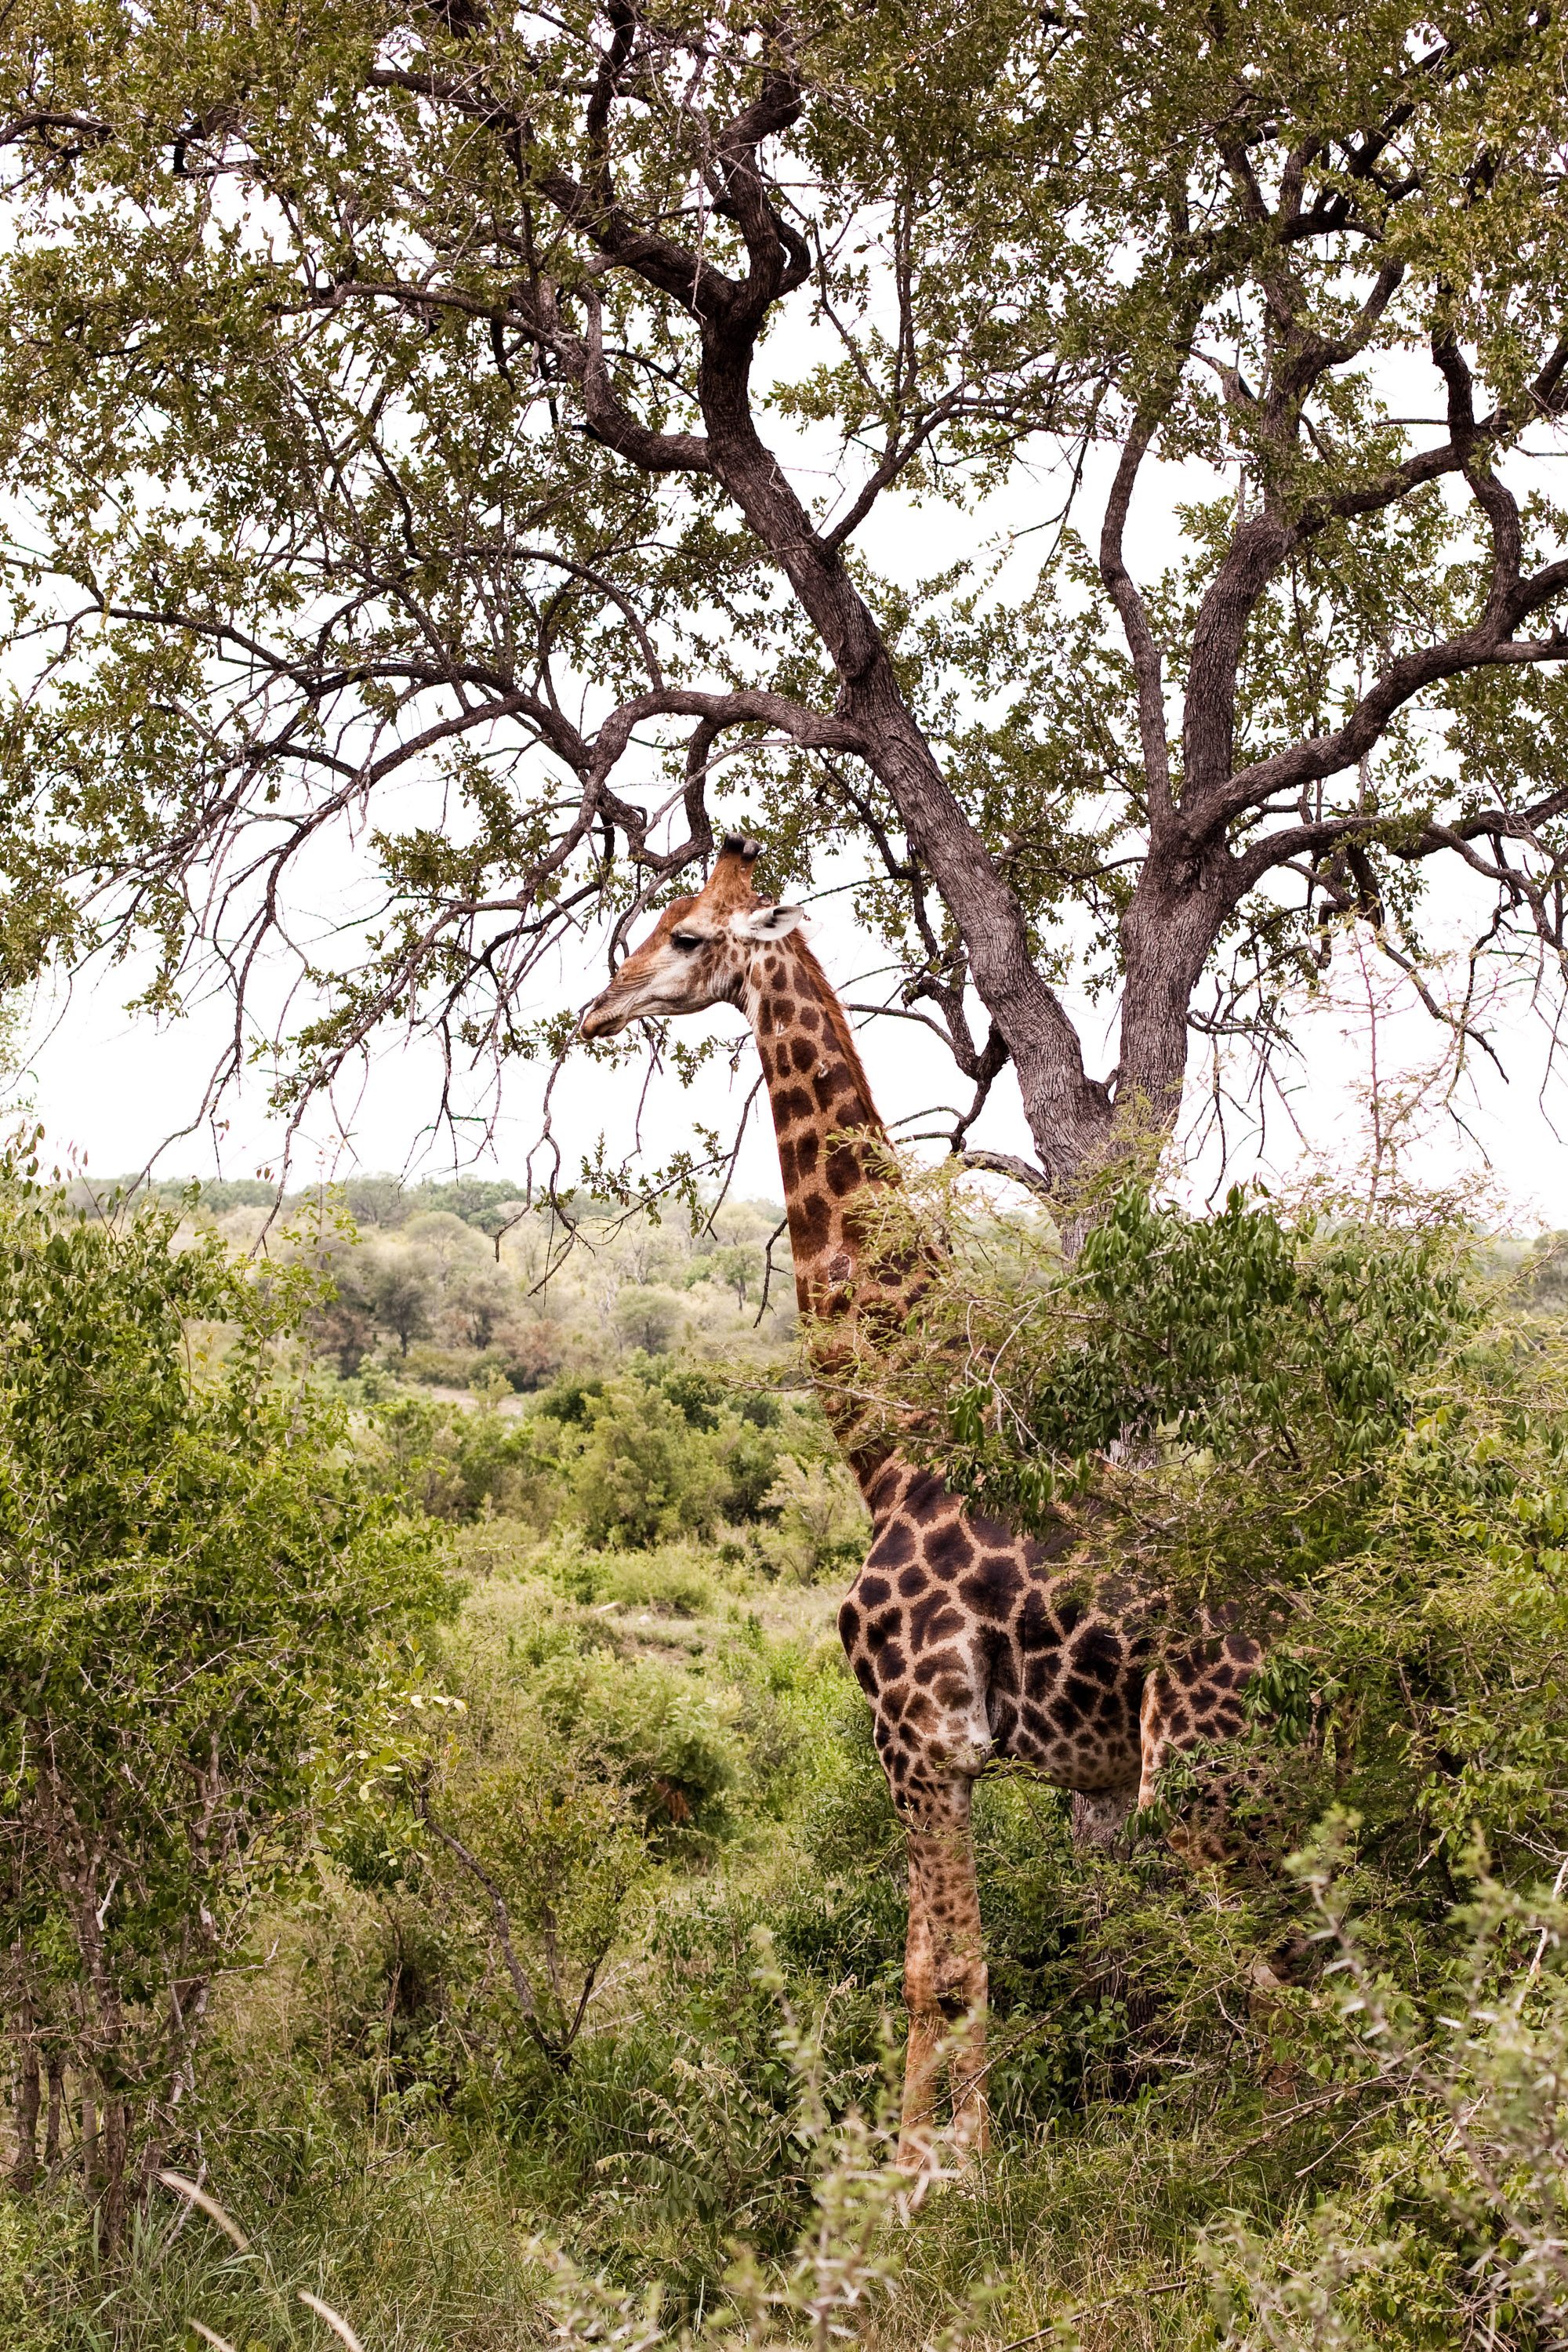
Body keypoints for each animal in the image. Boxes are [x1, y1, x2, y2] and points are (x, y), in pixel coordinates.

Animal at [580, 835, 1259, 2166]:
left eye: (688, 937)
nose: (593, 1011)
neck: (896, 1442)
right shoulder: (932, 1752)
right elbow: (940, 1965)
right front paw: (944, 2164)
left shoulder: (919, 1738)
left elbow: (942, 1971)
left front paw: (934, 2183)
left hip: (1205, 1788)